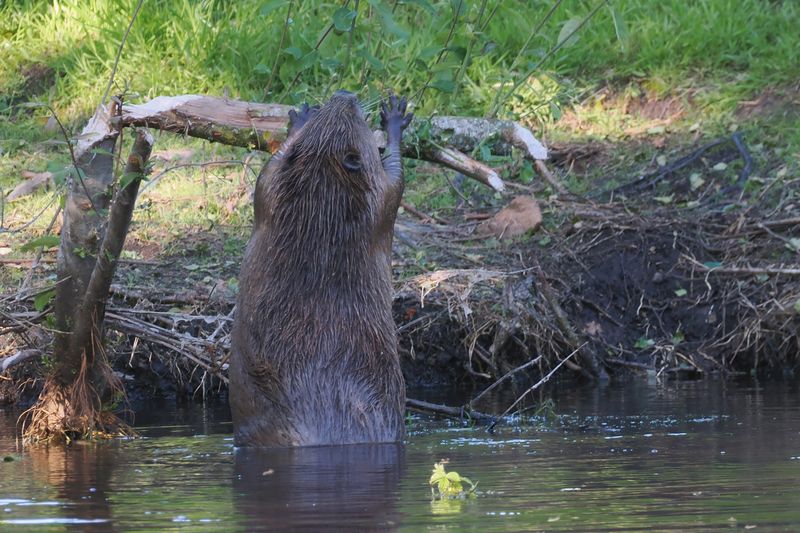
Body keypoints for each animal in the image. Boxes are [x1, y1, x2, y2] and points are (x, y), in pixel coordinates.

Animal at [227, 90, 410, 444]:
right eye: (353, 115)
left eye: (343, 107)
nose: (345, 95)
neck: (321, 195)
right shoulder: (377, 202)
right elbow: (396, 178)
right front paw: (394, 117)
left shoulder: (271, 189)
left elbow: (273, 165)